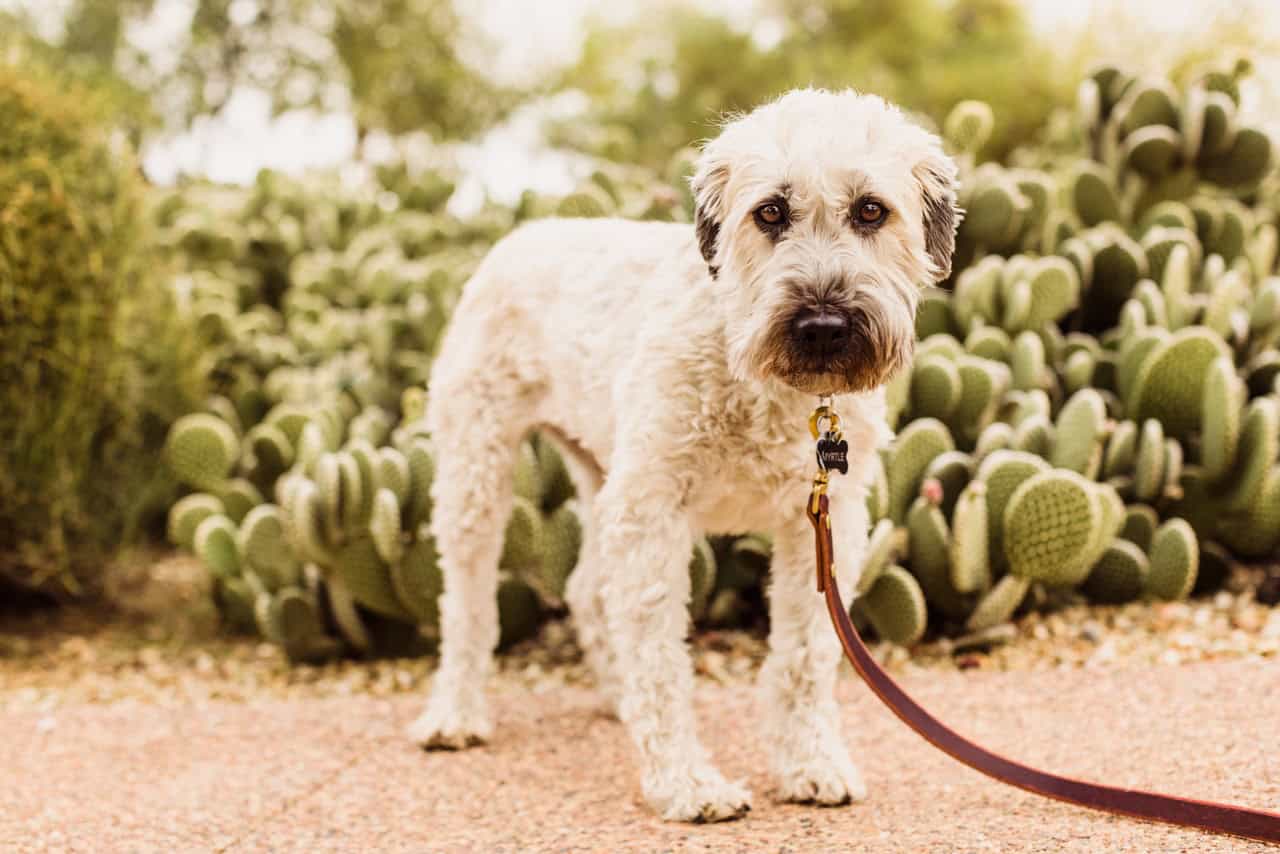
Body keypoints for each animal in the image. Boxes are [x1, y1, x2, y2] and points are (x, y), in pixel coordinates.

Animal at [404, 87, 957, 819]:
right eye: (769, 211)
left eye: (871, 210)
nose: (822, 326)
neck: (756, 373)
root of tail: (524, 234)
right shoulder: (652, 511)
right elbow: (662, 658)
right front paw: (686, 782)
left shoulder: (823, 521)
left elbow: (804, 654)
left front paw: (809, 762)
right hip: (478, 472)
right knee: (466, 604)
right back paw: (455, 715)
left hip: (601, 472)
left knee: (586, 590)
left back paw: (618, 700)